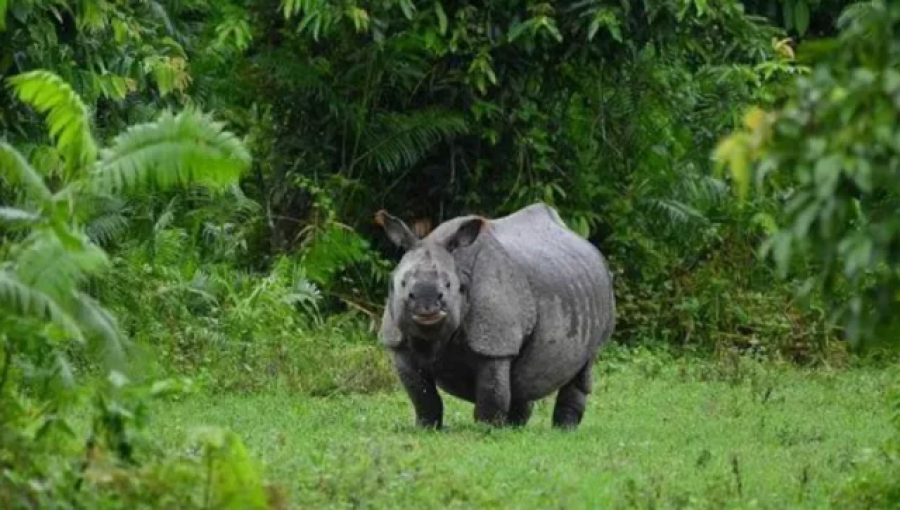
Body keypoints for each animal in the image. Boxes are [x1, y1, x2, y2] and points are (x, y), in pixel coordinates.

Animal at [374, 201, 620, 428]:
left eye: (450, 286)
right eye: (401, 284)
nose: (427, 306)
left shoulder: (495, 343)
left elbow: (491, 390)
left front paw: (487, 430)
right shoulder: (398, 343)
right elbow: (421, 393)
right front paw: (427, 427)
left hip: (603, 290)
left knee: (584, 365)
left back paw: (563, 430)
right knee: (522, 377)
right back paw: (516, 426)